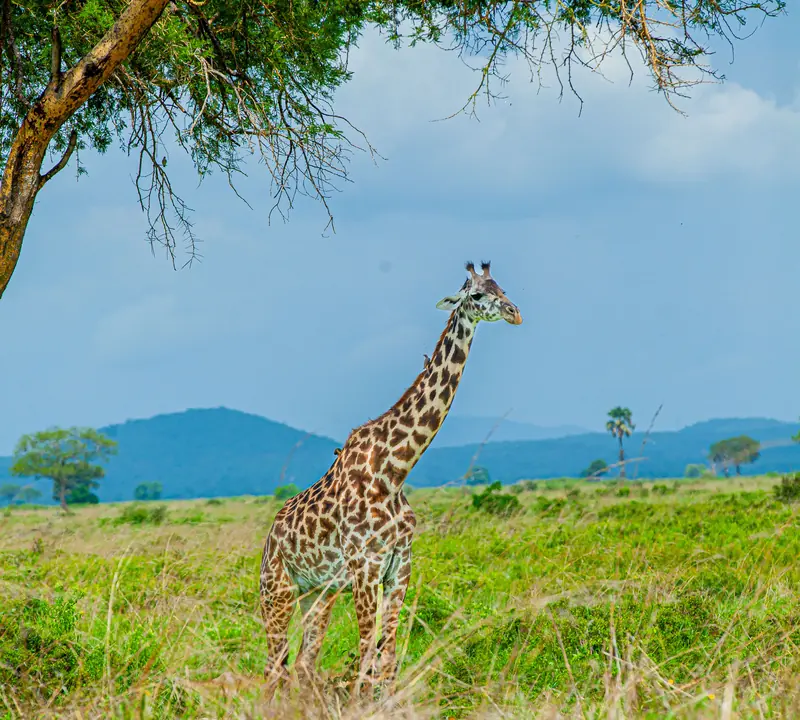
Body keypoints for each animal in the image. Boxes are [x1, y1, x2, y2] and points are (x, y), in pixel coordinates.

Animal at [259, 261, 522, 700]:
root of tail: (270, 537)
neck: (394, 469)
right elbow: (369, 653)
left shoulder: (400, 566)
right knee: (273, 668)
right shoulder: (365, 566)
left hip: (317, 593)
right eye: (477, 295)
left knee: (301, 664)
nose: (515, 313)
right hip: (276, 591)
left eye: (502, 287)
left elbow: (388, 655)